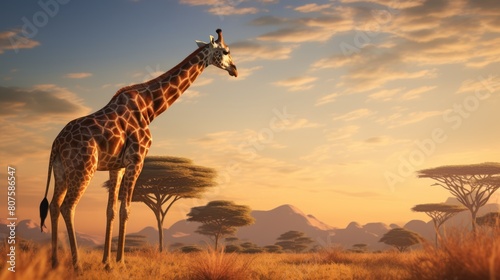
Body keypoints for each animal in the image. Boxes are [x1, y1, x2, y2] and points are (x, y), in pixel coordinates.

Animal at [38, 27, 237, 270]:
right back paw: (77, 265)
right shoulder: (137, 159)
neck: (150, 108)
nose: (235, 70)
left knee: (54, 206)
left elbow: (111, 211)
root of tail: (56, 143)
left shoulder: (117, 166)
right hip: (83, 167)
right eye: (226, 51)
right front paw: (121, 261)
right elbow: (126, 209)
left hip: (61, 170)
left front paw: (107, 262)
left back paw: (55, 262)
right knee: (68, 207)